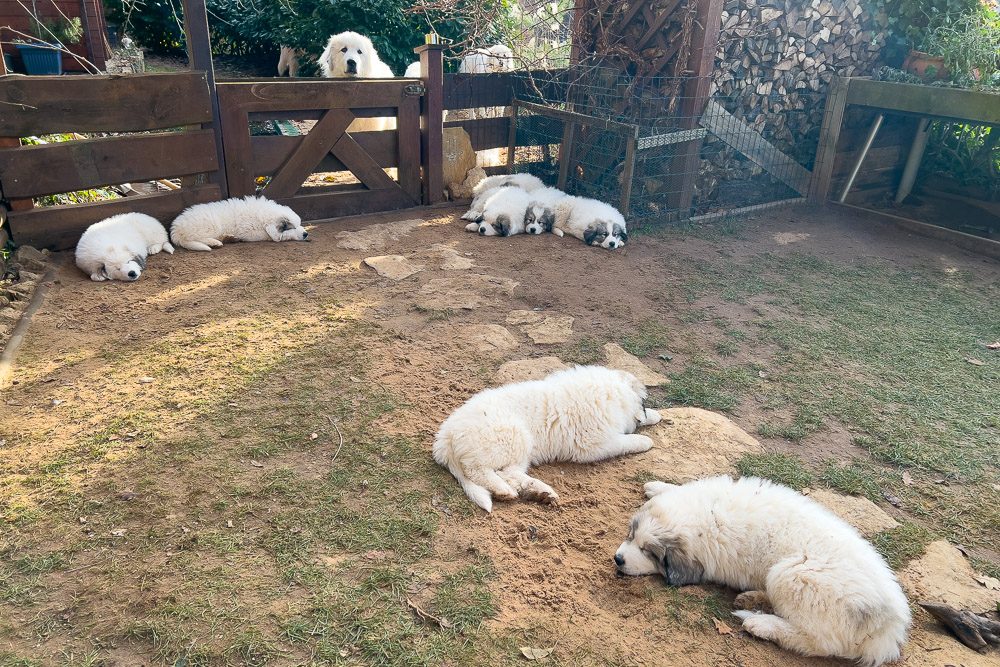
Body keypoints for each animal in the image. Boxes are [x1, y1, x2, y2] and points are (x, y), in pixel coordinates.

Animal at [170, 198, 308, 253]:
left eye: (299, 224)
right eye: (292, 228)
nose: (306, 234)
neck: (263, 217)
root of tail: (175, 228)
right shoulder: (249, 231)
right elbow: (267, 235)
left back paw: (229, 238)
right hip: (210, 225)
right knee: (196, 238)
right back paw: (215, 243)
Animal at [434, 366, 660, 512]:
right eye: (642, 401)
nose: (644, 412)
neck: (611, 395)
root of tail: (444, 438)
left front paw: (656, 415)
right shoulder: (594, 444)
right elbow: (624, 441)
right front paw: (644, 440)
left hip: (519, 449)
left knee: (510, 473)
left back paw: (540, 491)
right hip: (513, 436)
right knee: (478, 471)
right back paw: (504, 490)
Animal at [612, 478, 912, 664]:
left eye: (649, 553)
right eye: (631, 535)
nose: (618, 559)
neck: (708, 517)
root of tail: (890, 627)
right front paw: (659, 487)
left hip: (791, 575)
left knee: (820, 643)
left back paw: (761, 623)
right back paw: (753, 599)